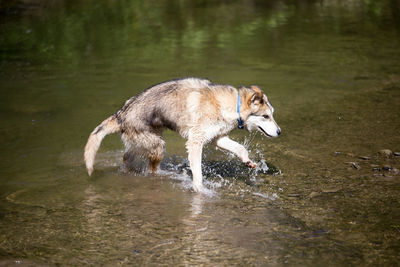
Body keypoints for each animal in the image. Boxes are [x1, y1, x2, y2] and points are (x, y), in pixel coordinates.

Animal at [83, 77, 282, 193]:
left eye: (272, 114)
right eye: (265, 116)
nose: (280, 131)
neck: (233, 105)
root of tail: (120, 115)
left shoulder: (218, 138)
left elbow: (240, 148)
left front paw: (248, 162)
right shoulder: (195, 141)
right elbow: (198, 173)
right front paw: (199, 189)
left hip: (146, 142)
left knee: (126, 157)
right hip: (158, 146)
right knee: (149, 169)